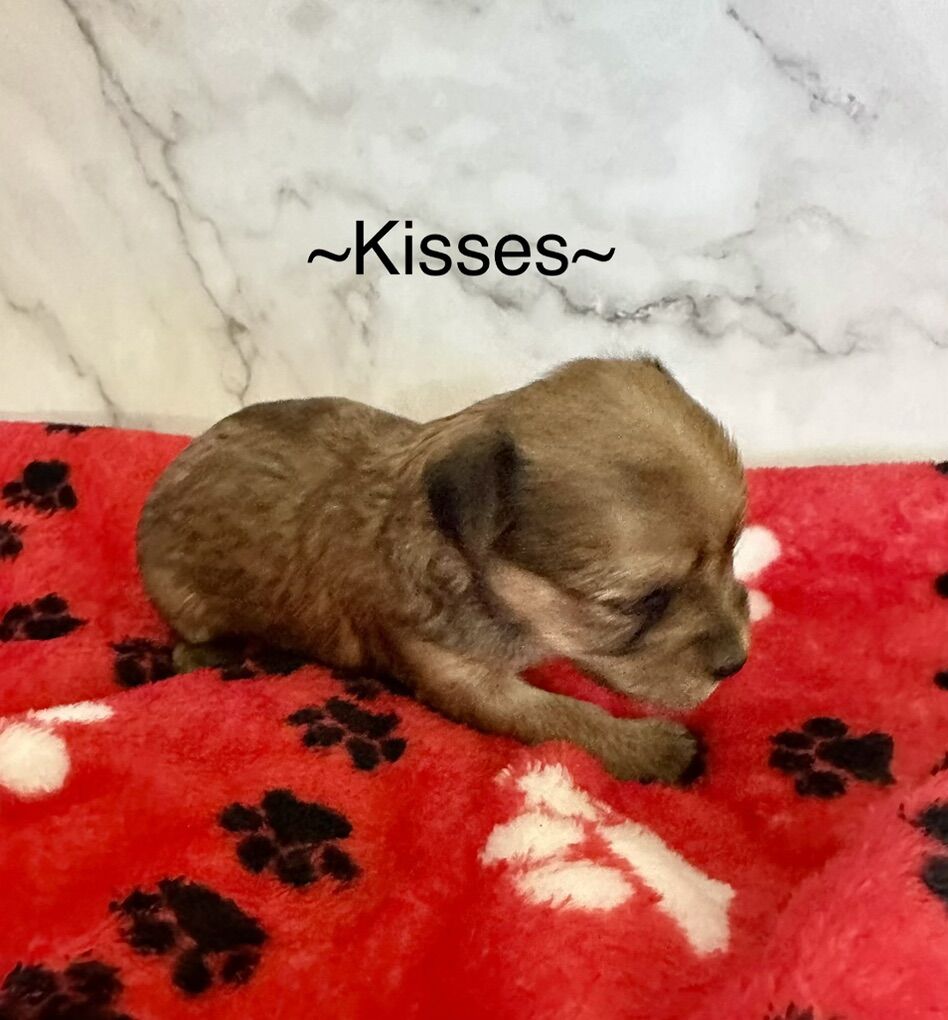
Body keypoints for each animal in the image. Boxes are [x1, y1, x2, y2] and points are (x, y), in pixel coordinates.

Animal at [137, 357, 749, 782]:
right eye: (637, 602)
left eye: (735, 548)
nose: (737, 663)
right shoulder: (457, 675)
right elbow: (562, 718)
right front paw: (655, 749)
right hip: (188, 603)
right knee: (189, 644)